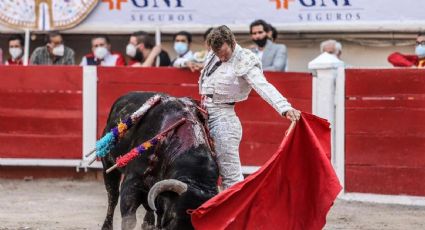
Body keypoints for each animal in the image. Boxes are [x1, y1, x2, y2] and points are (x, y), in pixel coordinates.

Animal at [100, 92, 219, 230]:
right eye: (173, 217)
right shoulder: (132, 182)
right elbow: (129, 219)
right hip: (108, 165)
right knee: (113, 197)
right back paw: (107, 226)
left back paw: (148, 223)